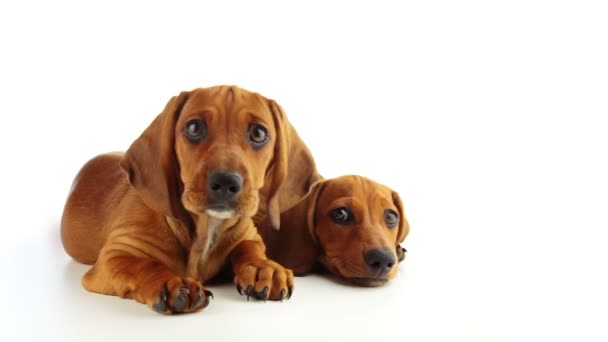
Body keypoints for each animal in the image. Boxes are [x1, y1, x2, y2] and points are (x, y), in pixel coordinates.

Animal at [60, 85, 318, 312]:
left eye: (258, 133)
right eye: (194, 128)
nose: (225, 182)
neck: (205, 228)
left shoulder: (249, 235)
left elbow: (249, 248)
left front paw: (263, 268)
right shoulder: (115, 255)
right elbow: (144, 264)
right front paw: (171, 283)